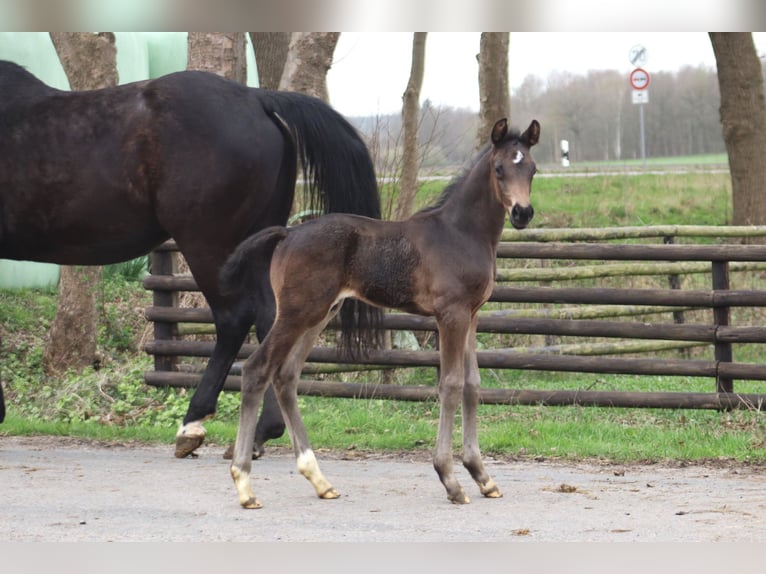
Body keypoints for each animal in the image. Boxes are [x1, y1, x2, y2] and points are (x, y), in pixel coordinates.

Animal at [0, 60, 382, 460]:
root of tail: (256, 98)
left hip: (210, 247)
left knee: (233, 319)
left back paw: (195, 423)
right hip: (257, 247)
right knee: (270, 320)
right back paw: (260, 431)